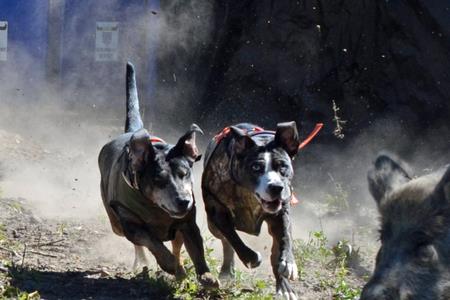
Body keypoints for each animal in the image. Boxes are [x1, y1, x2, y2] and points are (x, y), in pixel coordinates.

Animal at [98, 62, 218, 288]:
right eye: (158, 180)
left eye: (185, 173)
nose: (183, 201)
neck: (154, 208)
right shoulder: (131, 224)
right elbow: (150, 240)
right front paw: (168, 263)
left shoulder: (187, 222)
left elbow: (196, 248)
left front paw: (206, 275)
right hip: (116, 223)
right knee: (137, 244)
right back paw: (147, 264)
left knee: (177, 244)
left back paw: (180, 269)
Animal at [202, 122, 304, 300]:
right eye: (256, 167)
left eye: (283, 167)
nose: (276, 187)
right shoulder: (216, 208)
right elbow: (231, 236)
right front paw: (251, 258)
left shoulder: (281, 211)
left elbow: (285, 236)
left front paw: (289, 262)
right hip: (212, 226)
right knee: (225, 241)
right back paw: (227, 270)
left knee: (275, 251)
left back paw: (284, 287)